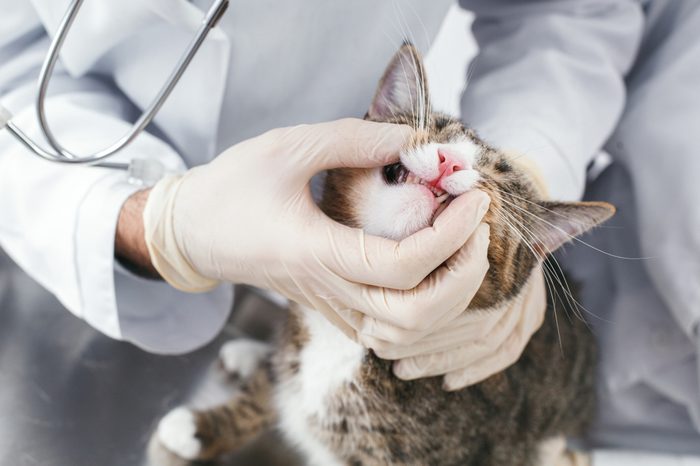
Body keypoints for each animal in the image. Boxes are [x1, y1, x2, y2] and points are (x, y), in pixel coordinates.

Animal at [153, 44, 612, 466]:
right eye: (439, 130)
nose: (449, 161)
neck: (351, 339)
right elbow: (271, 392)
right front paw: (206, 426)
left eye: (497, 176)